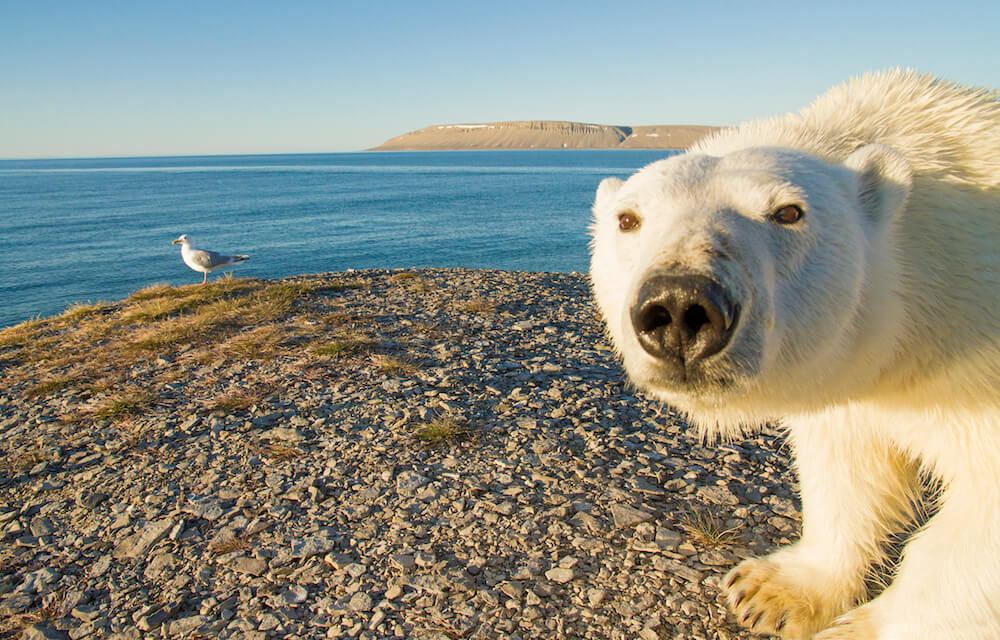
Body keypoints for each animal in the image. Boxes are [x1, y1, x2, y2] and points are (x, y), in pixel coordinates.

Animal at [588, 71, 1000, 640]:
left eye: (788, 212)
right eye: (628, 219)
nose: (678, 306)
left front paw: (858, 628)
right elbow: (847, 465)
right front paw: (771, 590)